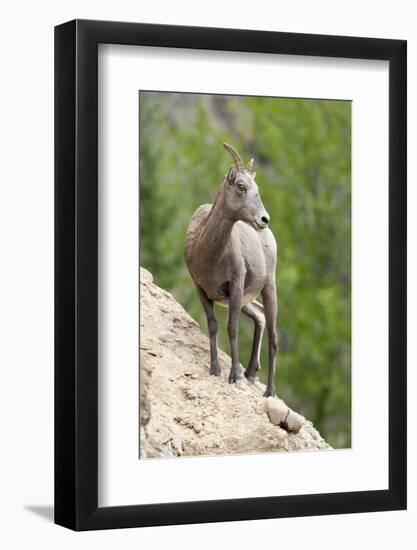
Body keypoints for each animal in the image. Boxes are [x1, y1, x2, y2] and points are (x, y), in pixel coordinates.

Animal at [184, 144, 276, 398]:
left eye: (257, 189)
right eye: (241, 186)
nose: (264, 219)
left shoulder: (235, 286)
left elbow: (232, 328)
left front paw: (234, 376)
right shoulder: (202, 289)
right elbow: (213, 325)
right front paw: (214, 369)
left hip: (268, 288)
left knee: (274, 336)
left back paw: (269, 392)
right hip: (247, 299)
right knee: (260, 316)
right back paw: (251, 372)